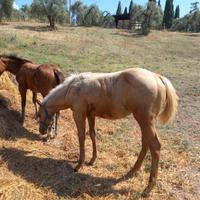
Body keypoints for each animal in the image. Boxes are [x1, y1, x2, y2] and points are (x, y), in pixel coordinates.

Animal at [37, 68, 178, 195]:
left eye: (38, 115)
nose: (42, 131)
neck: (71, 88)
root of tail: (157, 77)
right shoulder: (90, 115)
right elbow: (92, 134)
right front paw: (92, 160)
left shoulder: (78, 113)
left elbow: (81, 136)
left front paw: (79, 165)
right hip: (146, 122)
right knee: (146, 143)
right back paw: (132, 172)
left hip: (145, 120)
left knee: (155, 146)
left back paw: (148, 188)